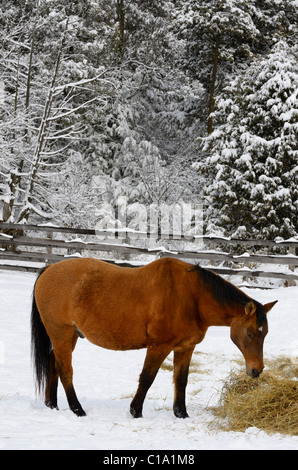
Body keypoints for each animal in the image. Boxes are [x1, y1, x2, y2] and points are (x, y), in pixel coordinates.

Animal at [30, 258, 278, 418]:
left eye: (265, 333)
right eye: (250, 333)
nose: (256, 370)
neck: (191, 297)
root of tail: (49, 270)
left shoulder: (185, 347)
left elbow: (181, 380)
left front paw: (181, 413)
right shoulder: (159, 346)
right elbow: (147, 378)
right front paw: (135, 411)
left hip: (69, 335)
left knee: (53, 364)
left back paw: (52, 405)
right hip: (61, 333)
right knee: (65, 371)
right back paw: (77, 409)